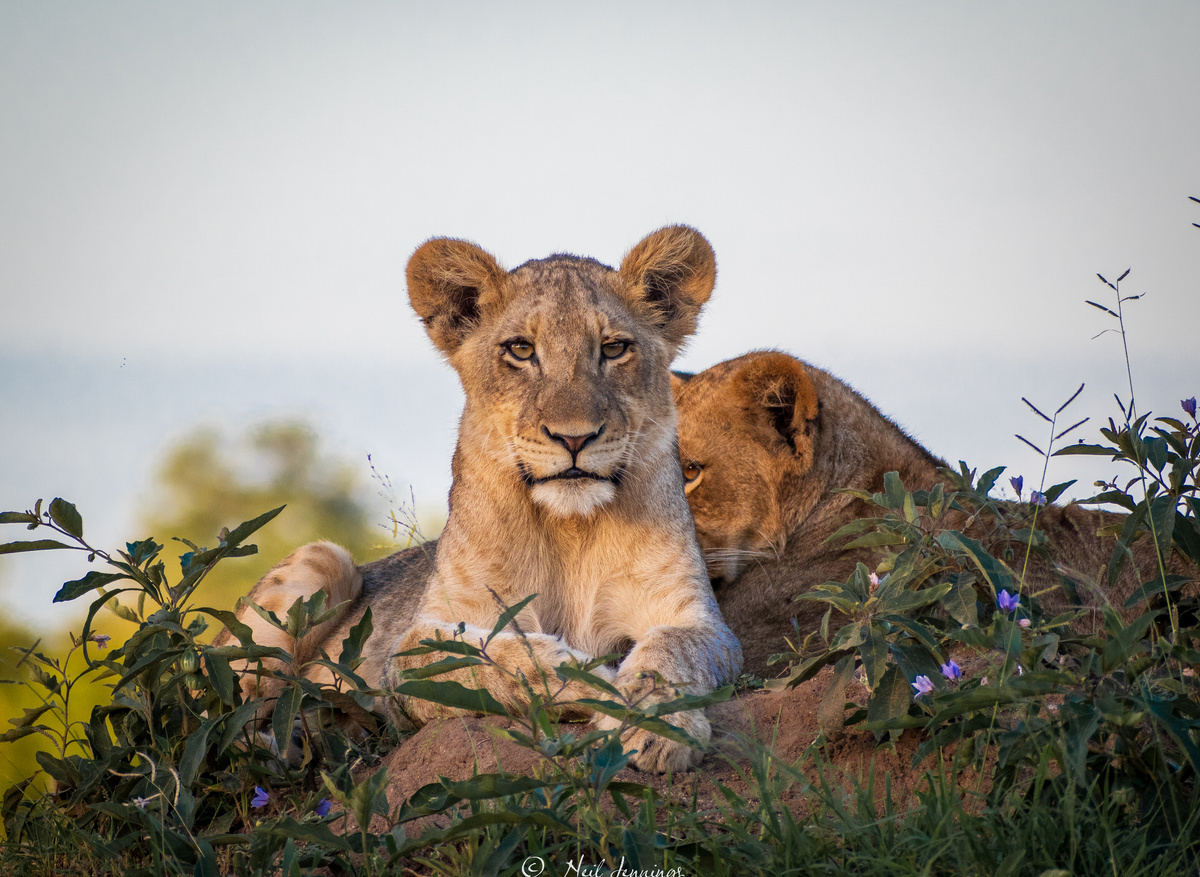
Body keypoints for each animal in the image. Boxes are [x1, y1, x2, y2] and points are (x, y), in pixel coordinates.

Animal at [217, 227, 742, 772]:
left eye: (614, 348)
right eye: (521, 349)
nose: (574, 437)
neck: (570, 528)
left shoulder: (694, 617)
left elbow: (670, 651)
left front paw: (653, 726)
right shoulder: (415, 645)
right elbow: (484, 656)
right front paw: (588, 677)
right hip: (323, 561)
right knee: (222, 720)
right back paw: (294, 743)